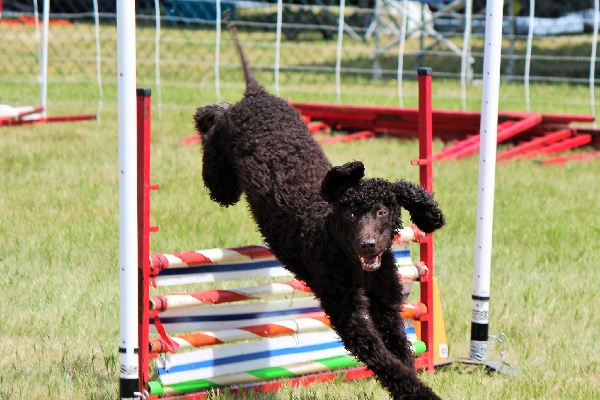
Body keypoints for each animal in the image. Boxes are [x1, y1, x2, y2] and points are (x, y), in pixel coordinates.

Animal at [193, 15, 446, 400]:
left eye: (382, 211)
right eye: (351, 213)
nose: (368, 245)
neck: (336, 244)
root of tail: (257, 94)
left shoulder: (386, 305)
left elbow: (401, 353)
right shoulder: (347, 315)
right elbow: (387, 362)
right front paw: (419, 392)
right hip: (222, 180)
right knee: (213, 124)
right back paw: (208, 113)